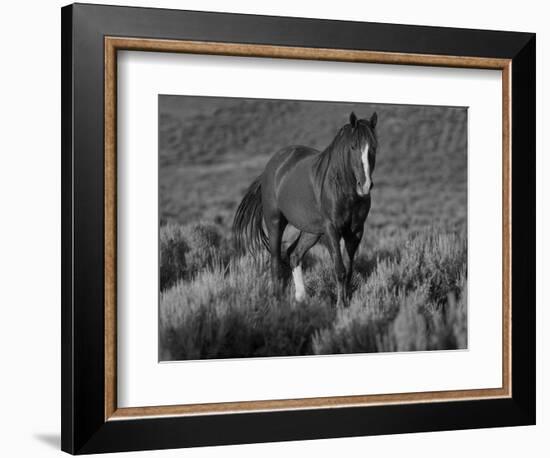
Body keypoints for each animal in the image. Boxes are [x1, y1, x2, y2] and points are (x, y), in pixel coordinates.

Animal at [233, 112, 380, 308]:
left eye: (373, 147)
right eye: (353, 146)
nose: (364, 185)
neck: (343, 188)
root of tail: (271, 167)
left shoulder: (355, 232)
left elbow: (349, 270)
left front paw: (346, 302)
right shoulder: (332, 230)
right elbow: (340, 269)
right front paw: (340, 305)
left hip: (311, 231)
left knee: (294, 254)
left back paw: (301, 298)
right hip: (275, 222)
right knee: (276, 261)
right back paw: (277, 301)